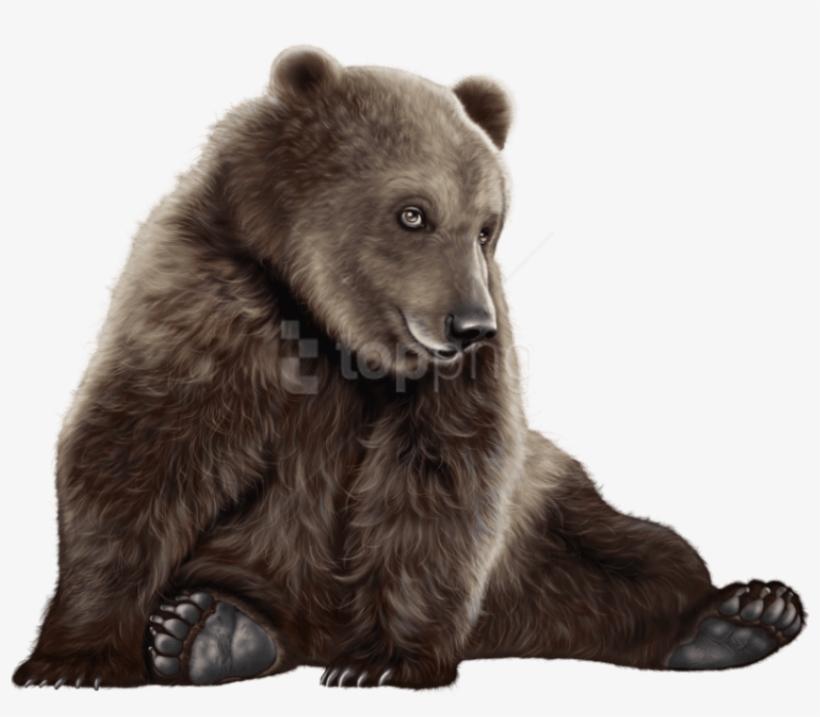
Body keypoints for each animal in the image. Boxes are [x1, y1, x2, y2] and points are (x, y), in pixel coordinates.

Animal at [13, 46, 804, 690]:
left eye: (487, 225)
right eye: (413, 212)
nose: (468, 325)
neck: (333, 328)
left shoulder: (455, 376)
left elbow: (438, 476)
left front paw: (383, 660)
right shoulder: (208, 299)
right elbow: (138, 450)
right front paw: (72, 659)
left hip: (544, 517)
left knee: (636, 555)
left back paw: (742, 616)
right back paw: (207, 629)